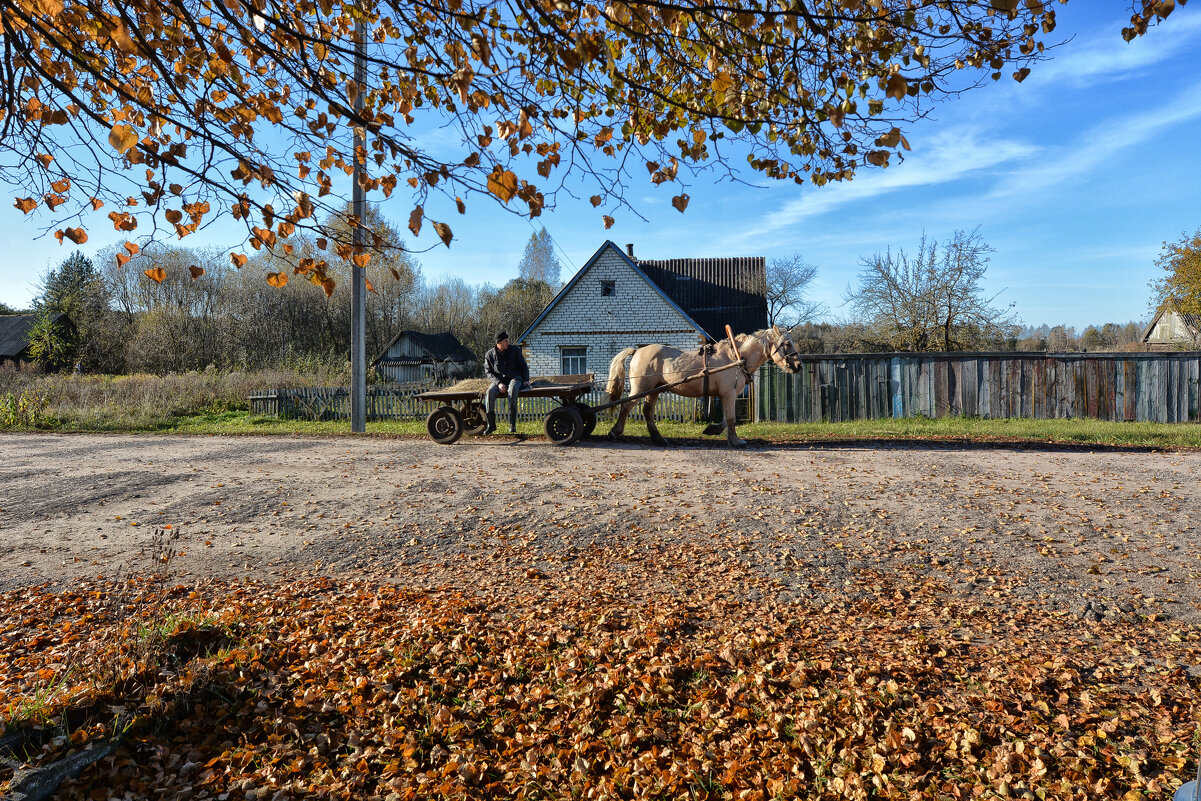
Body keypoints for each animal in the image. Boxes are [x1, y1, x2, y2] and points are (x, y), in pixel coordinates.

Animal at [605, 326, 802, 451]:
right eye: (786, 344)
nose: (798, 366)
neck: (736, 357)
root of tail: (637, 351)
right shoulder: (728, 393)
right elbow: (731, 419)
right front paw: (736, 441)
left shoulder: (725, 394)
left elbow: (727, 418)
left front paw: (713, 430)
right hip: (640, 388)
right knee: (626, 406)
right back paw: (615, 432)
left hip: (654, 390)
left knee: (647, 412)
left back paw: (658, 438)